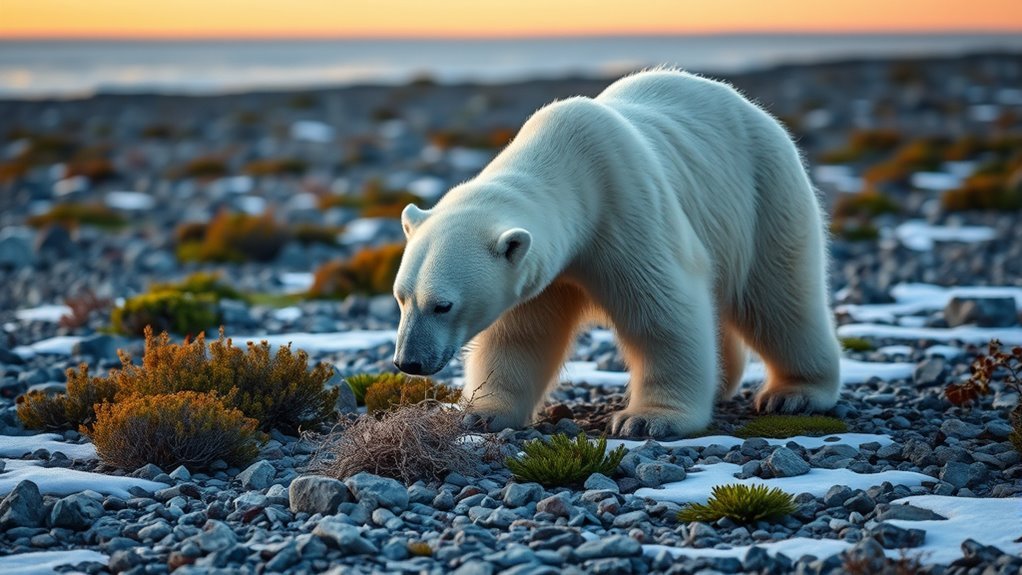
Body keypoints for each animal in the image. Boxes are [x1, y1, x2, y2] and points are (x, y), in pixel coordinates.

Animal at [391, 69, 841, 438]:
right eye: (401, 298)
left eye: (443, 305)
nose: (408, 362)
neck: (564, 164)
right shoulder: (542, 273)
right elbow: (519, 335)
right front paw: (480, 412)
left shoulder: (624, 208)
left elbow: (664, 312)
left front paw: (647, 419)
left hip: (765, 193)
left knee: (779, 298)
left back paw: (795, 393)